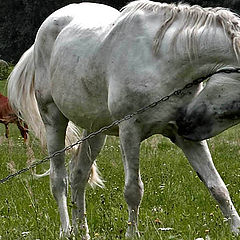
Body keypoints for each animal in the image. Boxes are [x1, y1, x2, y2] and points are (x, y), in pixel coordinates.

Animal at [7, 0, 240, 238]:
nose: (187, 125)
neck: (163, 59)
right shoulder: (129, 131)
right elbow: (133, 190)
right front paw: (131, 234)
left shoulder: (182, 137)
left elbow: (217, 186)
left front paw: (236, 229)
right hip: (53, 120)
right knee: (58, 179)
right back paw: (66, 230)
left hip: (95, 131)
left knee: (78, 176)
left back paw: (83, 231)